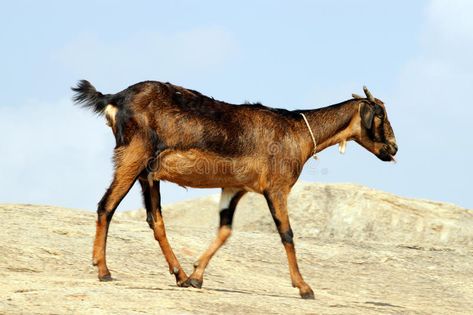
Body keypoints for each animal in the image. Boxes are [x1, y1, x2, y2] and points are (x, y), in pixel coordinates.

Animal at [73, 80, 398, 300]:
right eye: (380, 115)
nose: (393, 148)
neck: (299, 133)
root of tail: (115, 97)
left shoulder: (235, 186)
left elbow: (225, 230)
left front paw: (197, 276)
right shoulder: (277, 188)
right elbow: (287, 234)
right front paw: (304, 287)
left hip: (148, 173)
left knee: (156, 220)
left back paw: (179, 275)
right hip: (133, 155)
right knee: (106, 205)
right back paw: (103, 270)